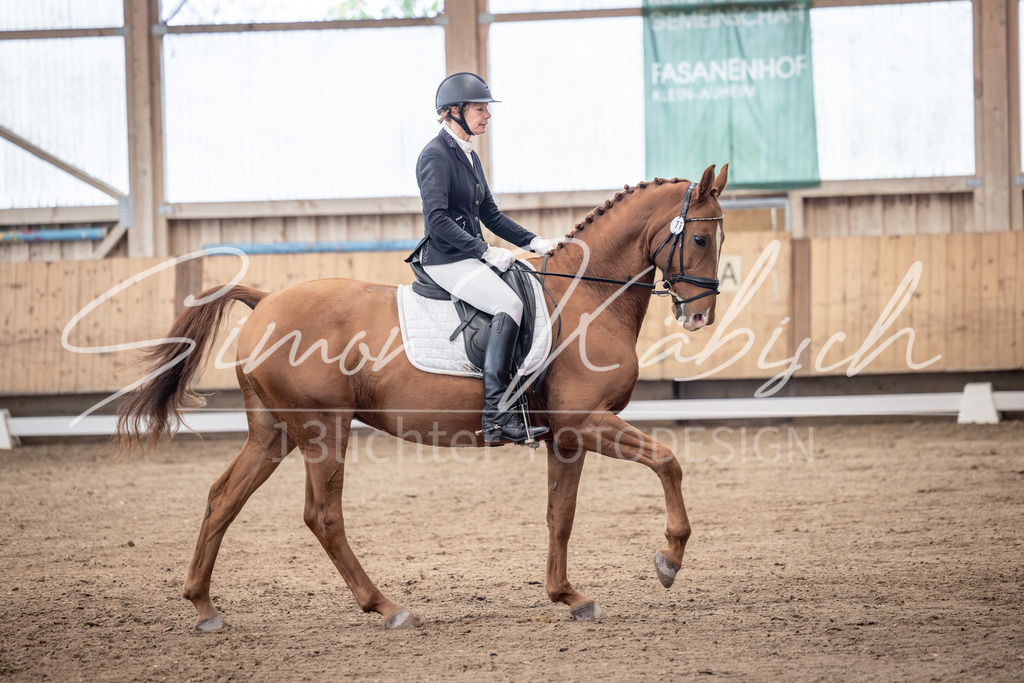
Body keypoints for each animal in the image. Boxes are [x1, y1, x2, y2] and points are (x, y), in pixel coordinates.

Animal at [116, 164, 729, 631]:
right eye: (700, 238)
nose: (699, 317)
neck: (584, 299)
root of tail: (265, 300)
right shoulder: (588, 423)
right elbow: (668, 462)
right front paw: (669, 559)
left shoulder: (567, 437)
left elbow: (561, 514)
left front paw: (569, 597)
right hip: (321, 430)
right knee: (323, 516)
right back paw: (387, 607)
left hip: (274, 432)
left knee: (223, 498)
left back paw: (203, 607)